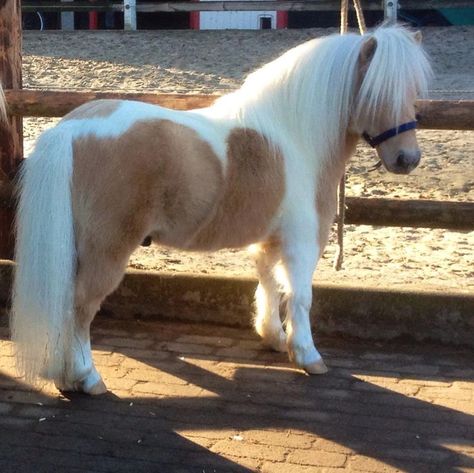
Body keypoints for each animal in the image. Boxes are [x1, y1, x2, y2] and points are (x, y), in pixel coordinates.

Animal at [5, 26, 432, 394]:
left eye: (412, 91)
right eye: (379, 91)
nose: (407, 159)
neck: (293, 136)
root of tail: (70, 129)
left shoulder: (268, 240)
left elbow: (270, 284)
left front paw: (273, 338)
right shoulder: (302, 241)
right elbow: (300, 295)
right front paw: (308, 356)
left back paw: (66, 378)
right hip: (106, 251)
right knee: (80, 307)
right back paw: (88, 378)